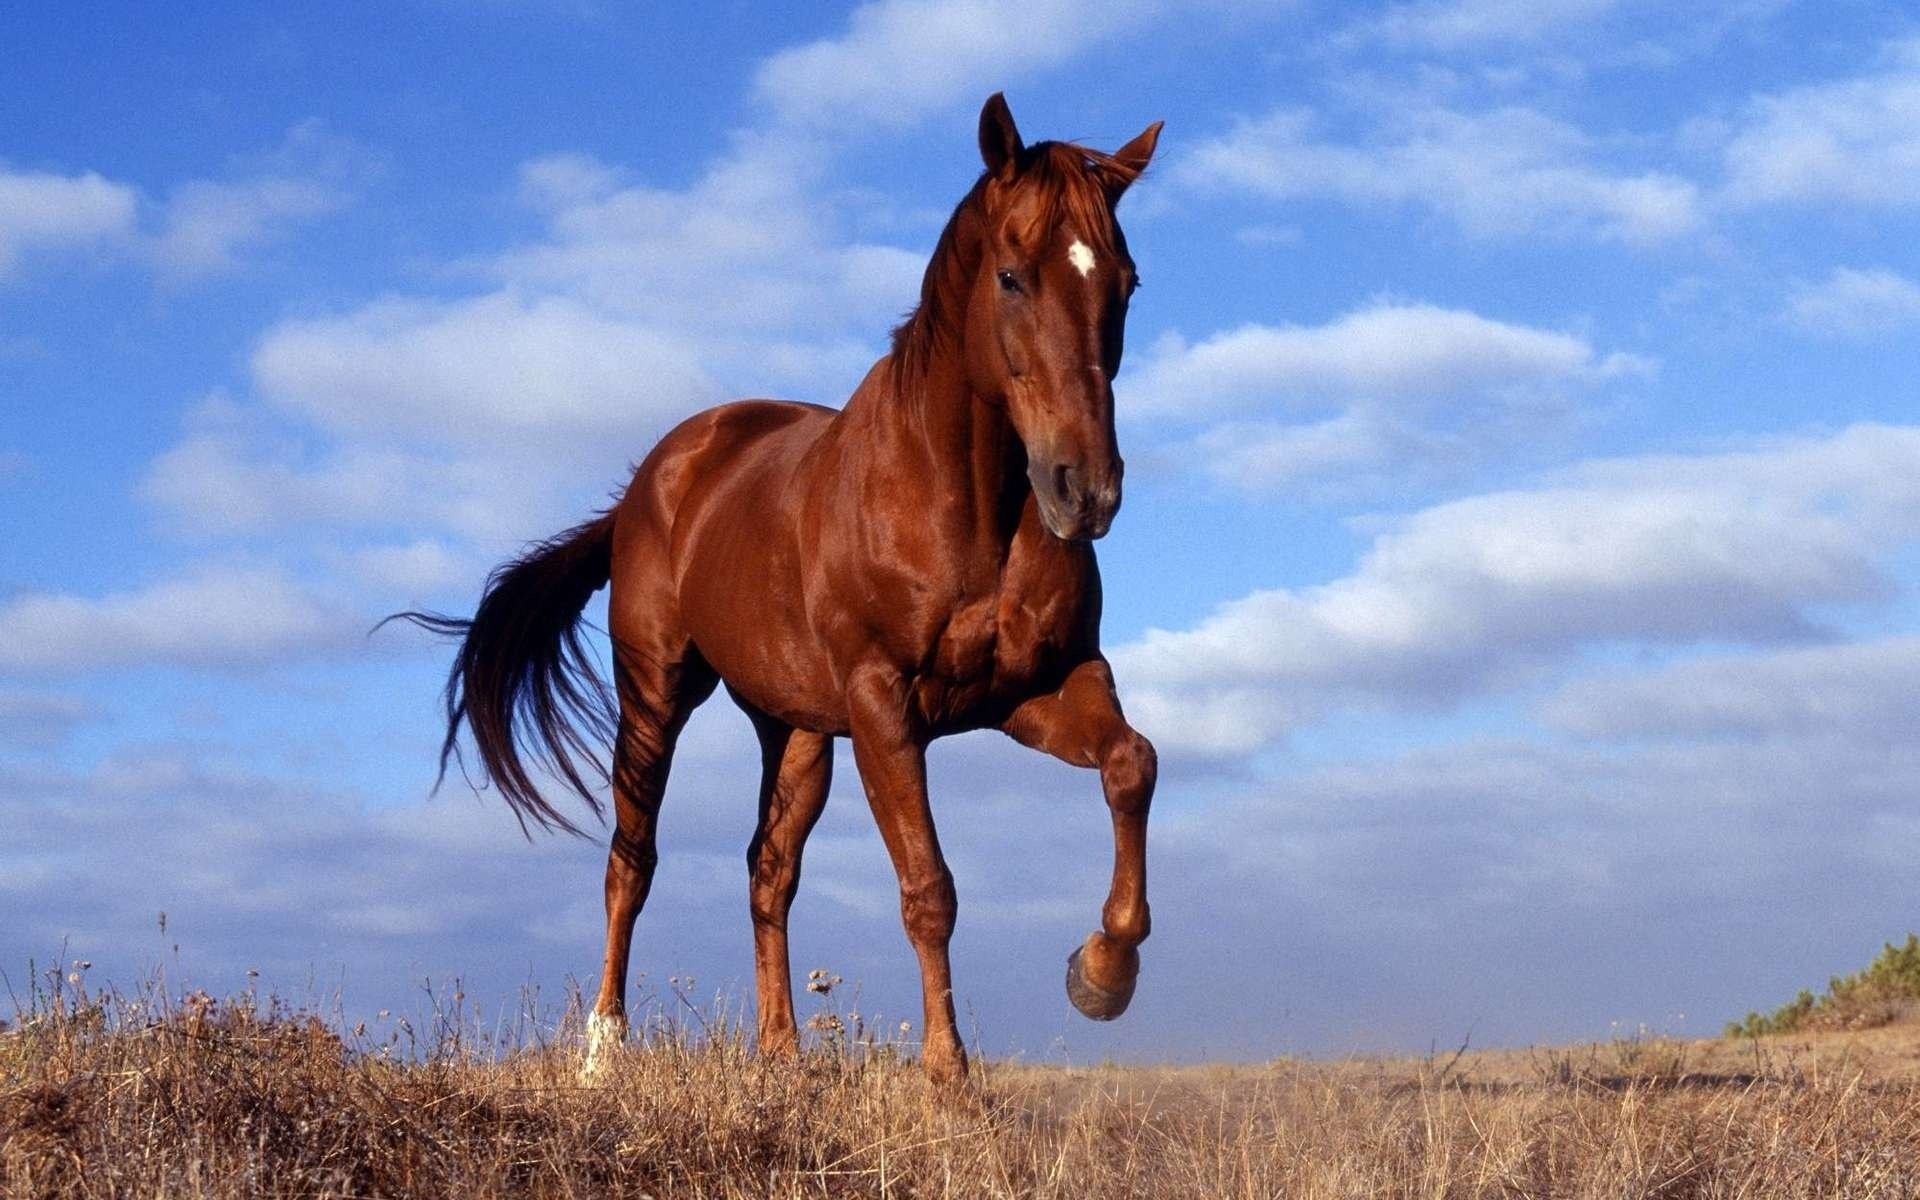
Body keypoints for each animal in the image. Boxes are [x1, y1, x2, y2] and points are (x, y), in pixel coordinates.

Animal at [397, 94, 1163, 1084]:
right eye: (1010, 276)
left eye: (1127, 283)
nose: (1086, 490)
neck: (962, 502)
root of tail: (649, 484)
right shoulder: (884, 707)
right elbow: (929, 887)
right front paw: (948, 1077)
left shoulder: (1036, 689)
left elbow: (1131, 765)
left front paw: (1101, 973)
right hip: (657, 695)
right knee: (631, 862)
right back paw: (603, 1050)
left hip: (794, 729)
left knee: (768, 870)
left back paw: (781, 1055)